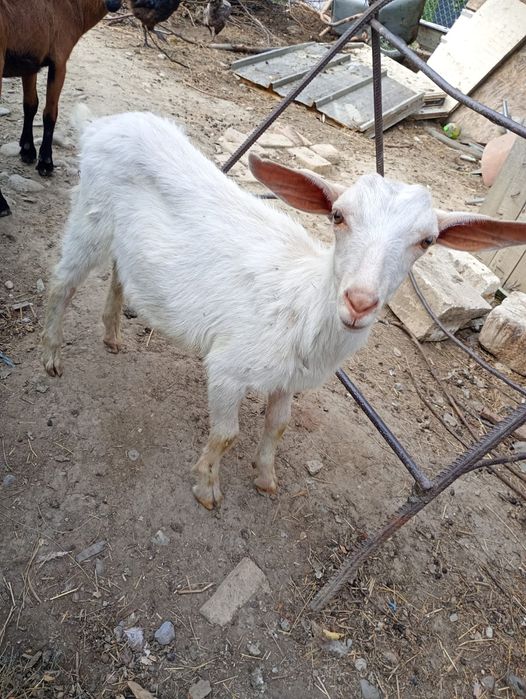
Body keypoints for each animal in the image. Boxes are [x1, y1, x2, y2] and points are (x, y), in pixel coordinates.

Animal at [0, 0, 122, 217]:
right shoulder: (59, 59)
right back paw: (2, 204)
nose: (114, 5)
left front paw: (27, 151)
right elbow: (50, 113)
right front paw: (46, 163)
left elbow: (30, 104)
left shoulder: (31, 58)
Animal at [41, 111, 526, 510]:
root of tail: (102, 124)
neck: (305, 310)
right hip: (90, 217)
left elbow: (278, 426)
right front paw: (207, 488)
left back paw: (111, 335)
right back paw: (51, 358)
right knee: (61, 283)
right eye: (337, 216)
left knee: (120, 272)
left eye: (427, 241)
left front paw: (266, 479)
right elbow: (226, 434)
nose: (359, 302)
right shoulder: (227, 367)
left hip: (124, 241)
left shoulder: (288, 380)